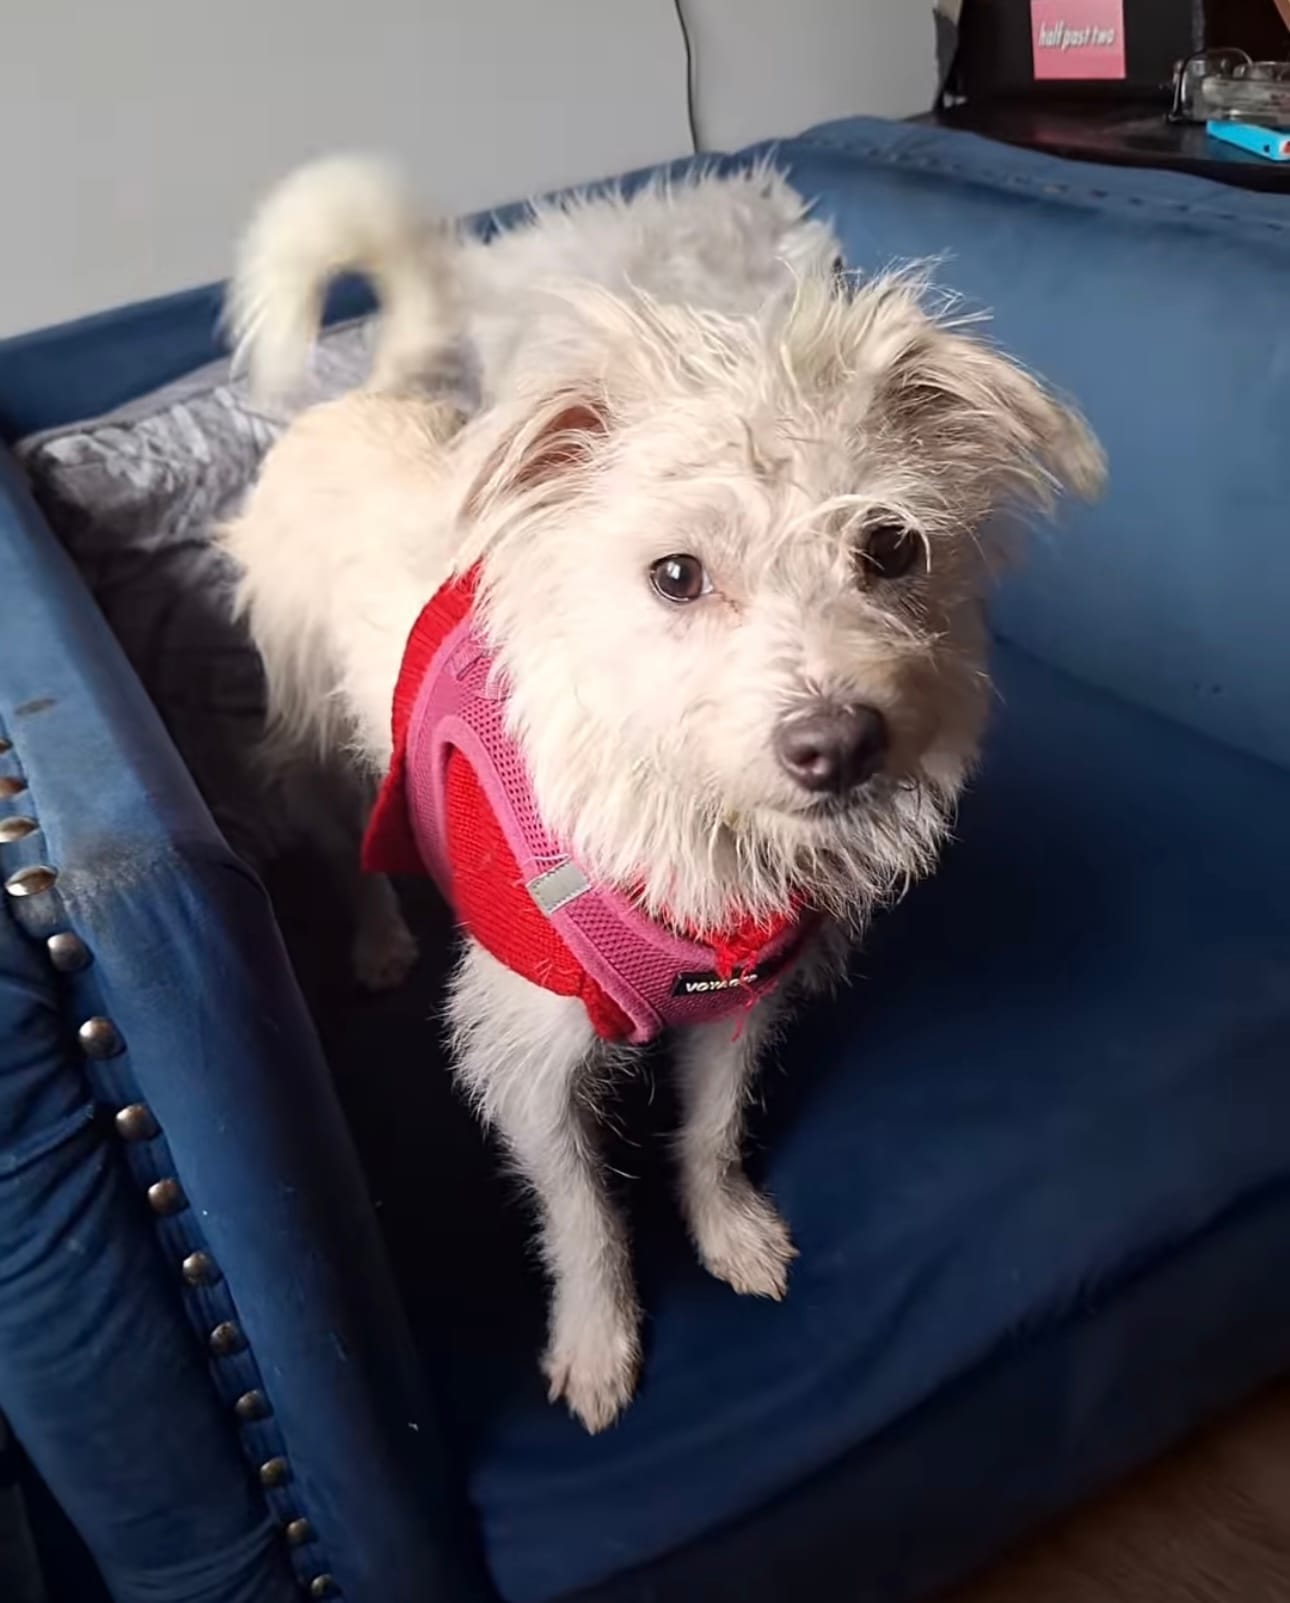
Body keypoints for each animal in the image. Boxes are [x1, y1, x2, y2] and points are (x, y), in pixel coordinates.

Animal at [221, 156, 1096, 1436]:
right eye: (675, 576)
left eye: (890, 548)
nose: (838, 743)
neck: (695, 823)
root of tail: (358, 401)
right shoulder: (528, 1061)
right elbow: (583, 1214)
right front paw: (598, 1342)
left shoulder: (734, 1002)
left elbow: (712, 1131)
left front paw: (726, 1228)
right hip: (313, 746)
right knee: (347, 850)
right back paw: (376, 937)